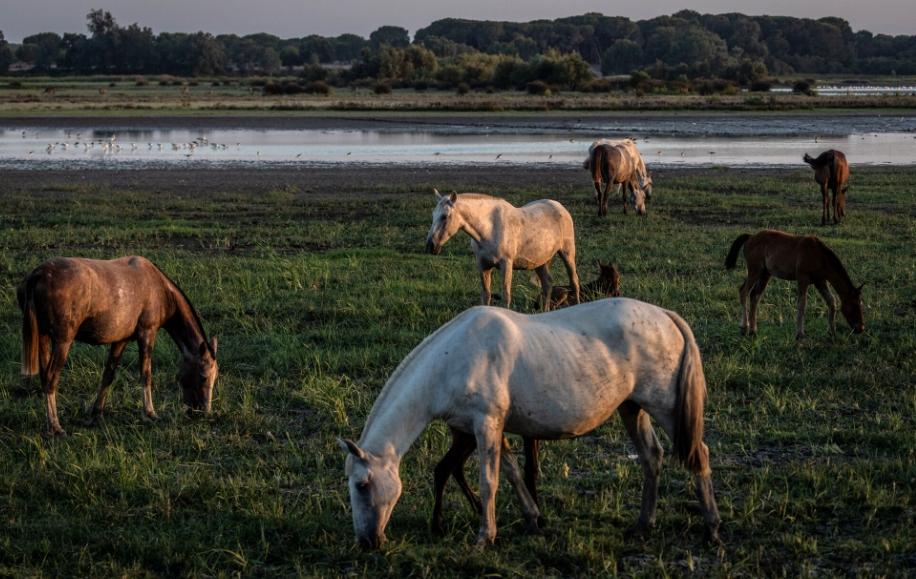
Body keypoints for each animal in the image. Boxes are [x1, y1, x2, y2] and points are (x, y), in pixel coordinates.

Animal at [18, 258, 219, 436]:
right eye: (203, 377)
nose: (204, 412)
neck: (160, 288)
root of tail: (38, 274)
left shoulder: (121, 340)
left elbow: (108, 375)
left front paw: (96, 414)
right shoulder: (147, 333)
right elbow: (146, 374)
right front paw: (150, 413)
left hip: (44, 337)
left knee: (45, 377)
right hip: (62, 341)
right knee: (51, 378)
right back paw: (55, 426)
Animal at [342, 300, 724, 548]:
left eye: (362, 485)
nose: (366, 542)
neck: (454, 359)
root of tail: (666, 316)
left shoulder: (486, 424)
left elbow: (490, 481)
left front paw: (485, 537)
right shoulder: (485, 429)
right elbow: (511, 473)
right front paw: (534, 520)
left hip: (666, 408)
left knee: (699, 455)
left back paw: (712, 528)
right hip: (632, 409)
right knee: (651, 457)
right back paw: (643, 526)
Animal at [424, 190, 580, 310]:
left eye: (444, 216)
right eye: (433, 215)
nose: (430, 246)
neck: (490, 229)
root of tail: (560, 207)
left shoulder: (506, 265)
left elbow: (506, 296)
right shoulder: (483, 266)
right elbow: (486, 295)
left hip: (567, 254)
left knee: (574, 282)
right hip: (541, 262)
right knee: (547, 284)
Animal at [728, 231, 864, 340]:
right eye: (853, 305)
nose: (861, 328)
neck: (819, 255)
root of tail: (751, 237)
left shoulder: (820, 281)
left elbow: (831, 301)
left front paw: (832, 332)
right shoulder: (803, 278)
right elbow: (802, 304)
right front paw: (799, 334)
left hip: (765, 274)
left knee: (754, 296)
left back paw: (753, 330)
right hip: (754, 270)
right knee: (744, 291)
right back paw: (744, 327)